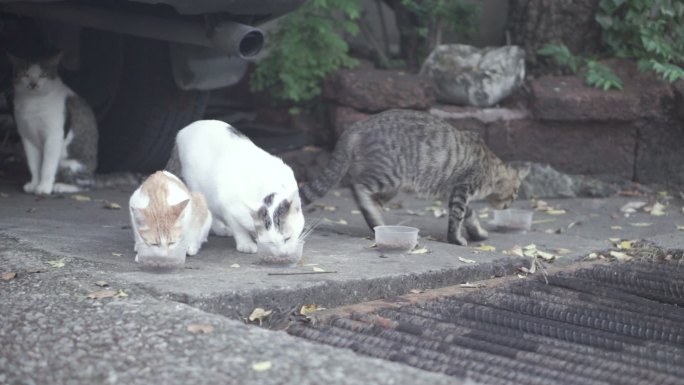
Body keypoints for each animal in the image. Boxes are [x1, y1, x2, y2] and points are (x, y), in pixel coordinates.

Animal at [8, 50, 98, 195]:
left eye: (43, 74)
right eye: (25, 74)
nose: (33, 84)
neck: (33, 103)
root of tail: (94, 173)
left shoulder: (54, 136)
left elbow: (47, 165)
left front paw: (44, 187)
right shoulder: (27, 138)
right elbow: (34, 164)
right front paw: (34, 183)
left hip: (69, 164)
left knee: (87, 184)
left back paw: (60, 187)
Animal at [300, 109, 528, 244]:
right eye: (515, 192)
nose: (510, 204)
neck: (491, 167)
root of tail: (357, 126)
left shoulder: (455, 192)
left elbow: (470, 216)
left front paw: (478, 234)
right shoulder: (462, 189)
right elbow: (458, 217)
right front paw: (456, 239)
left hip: (389, 186)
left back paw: (377, 222)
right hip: (389, 175)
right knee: (358, 187)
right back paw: (375, 218)